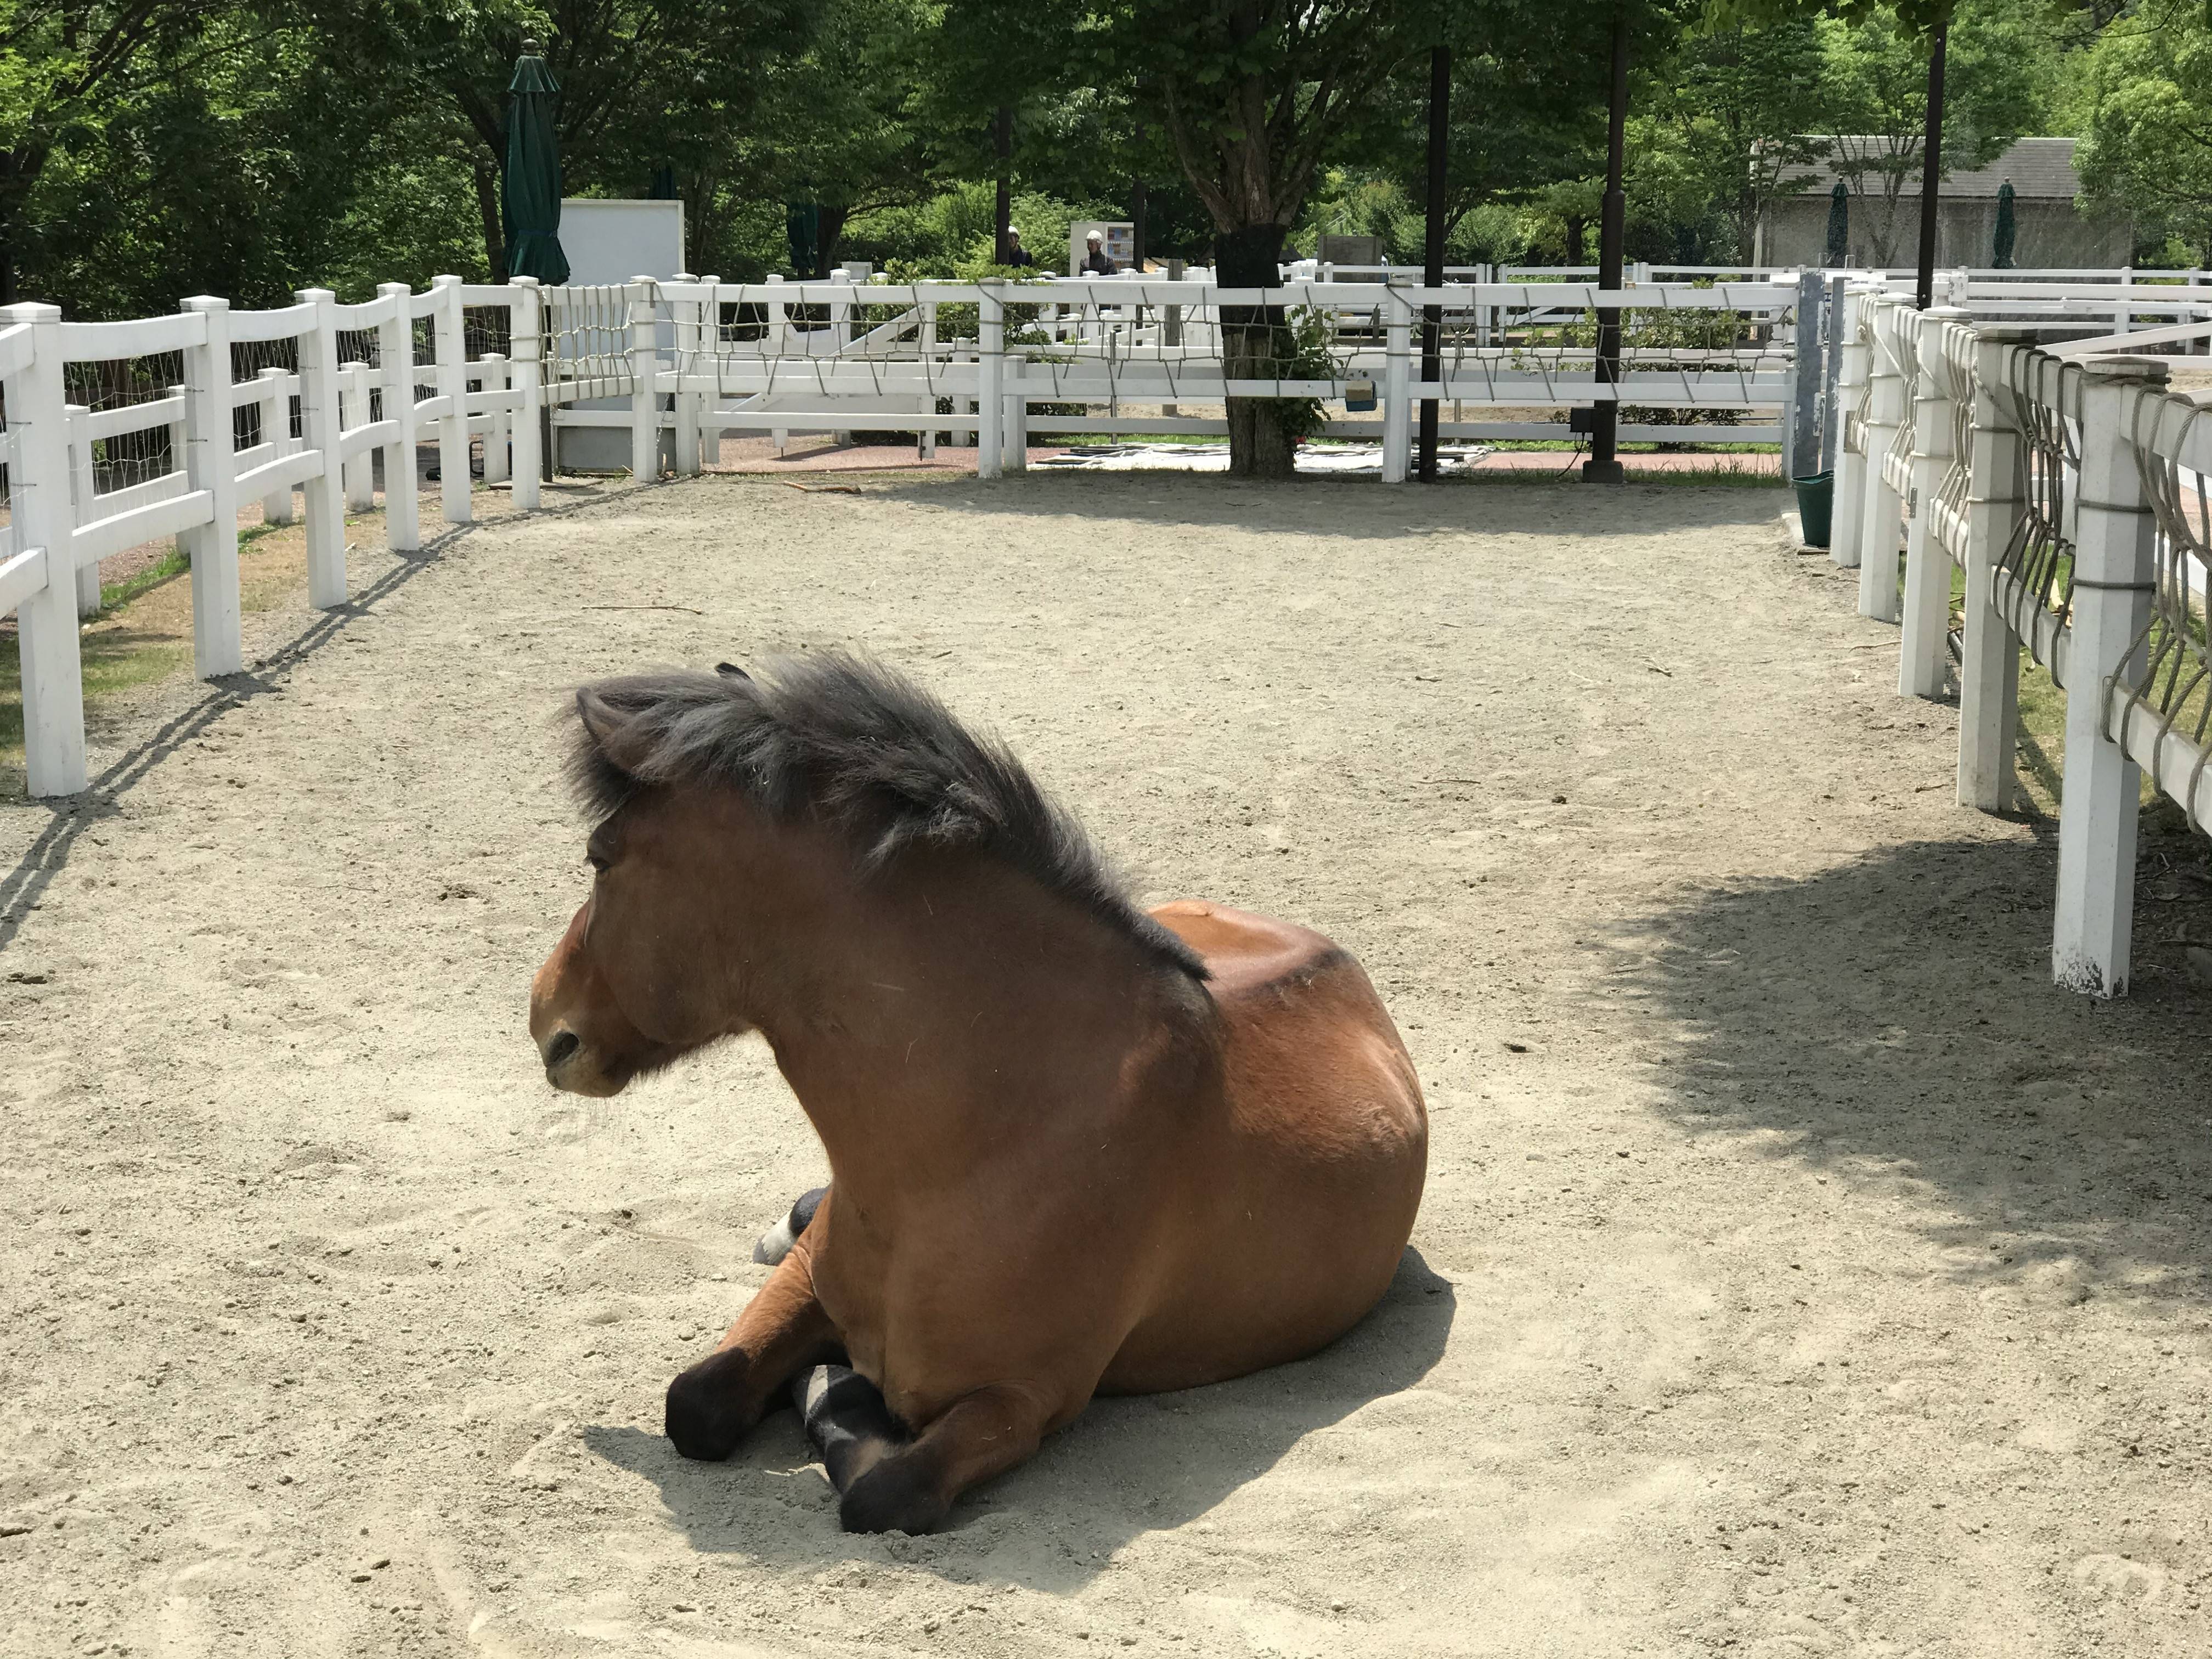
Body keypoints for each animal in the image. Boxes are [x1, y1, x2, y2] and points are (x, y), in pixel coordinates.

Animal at [528, 654, 1427, 1534]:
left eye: (601, 856)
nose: (546, 1021)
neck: (980, 1145)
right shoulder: (810, 1283)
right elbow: (697, 1403)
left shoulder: (1025, 1402)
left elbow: (884, 1492)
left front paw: (834, 1390)